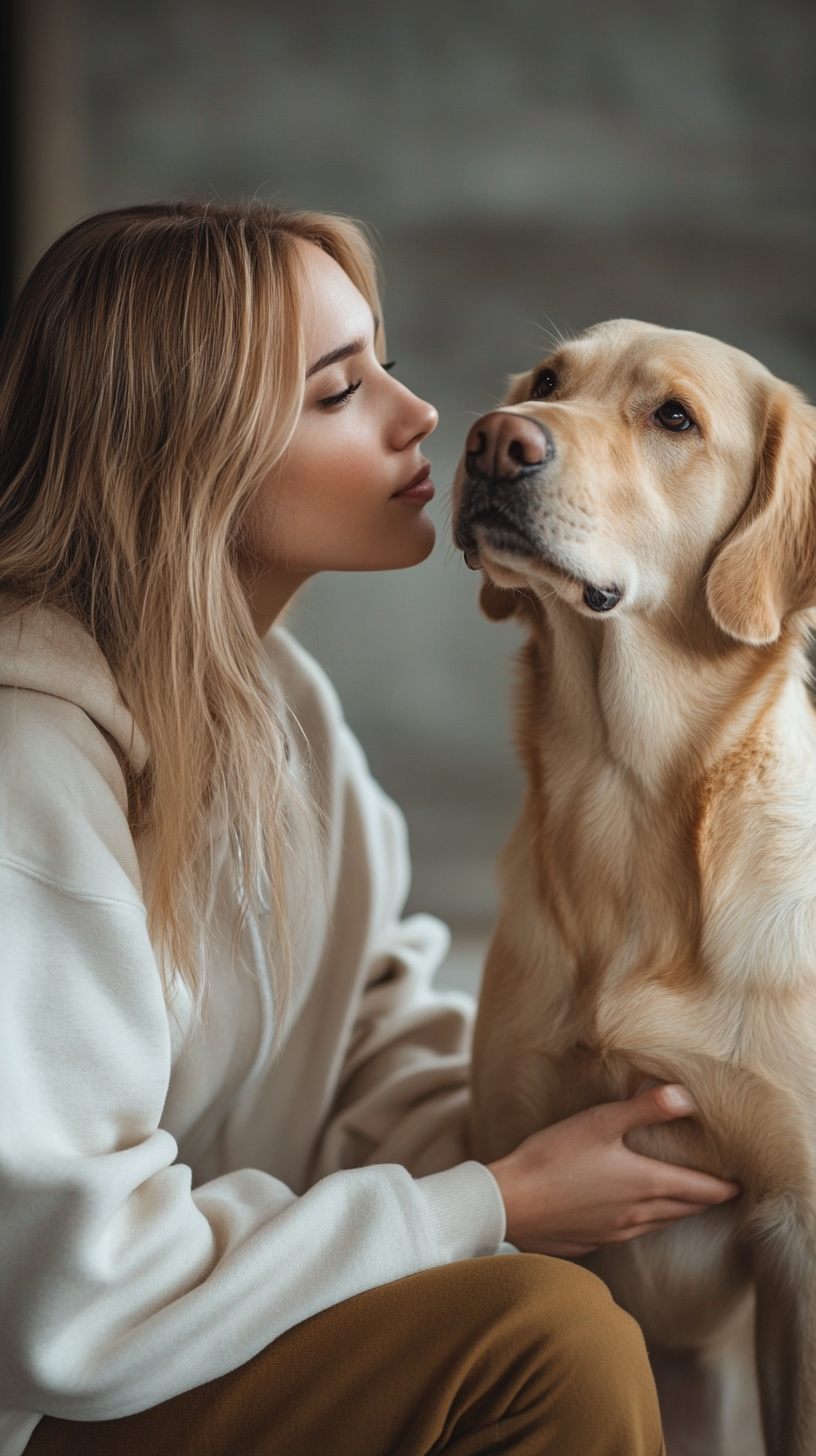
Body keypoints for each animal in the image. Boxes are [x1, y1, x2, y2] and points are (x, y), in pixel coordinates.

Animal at [454, 321, 816, 1456]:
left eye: (674, 418)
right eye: (549, 381)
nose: (495, 439)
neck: (625, 790)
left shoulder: (801, 1240)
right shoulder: (526, 1183)